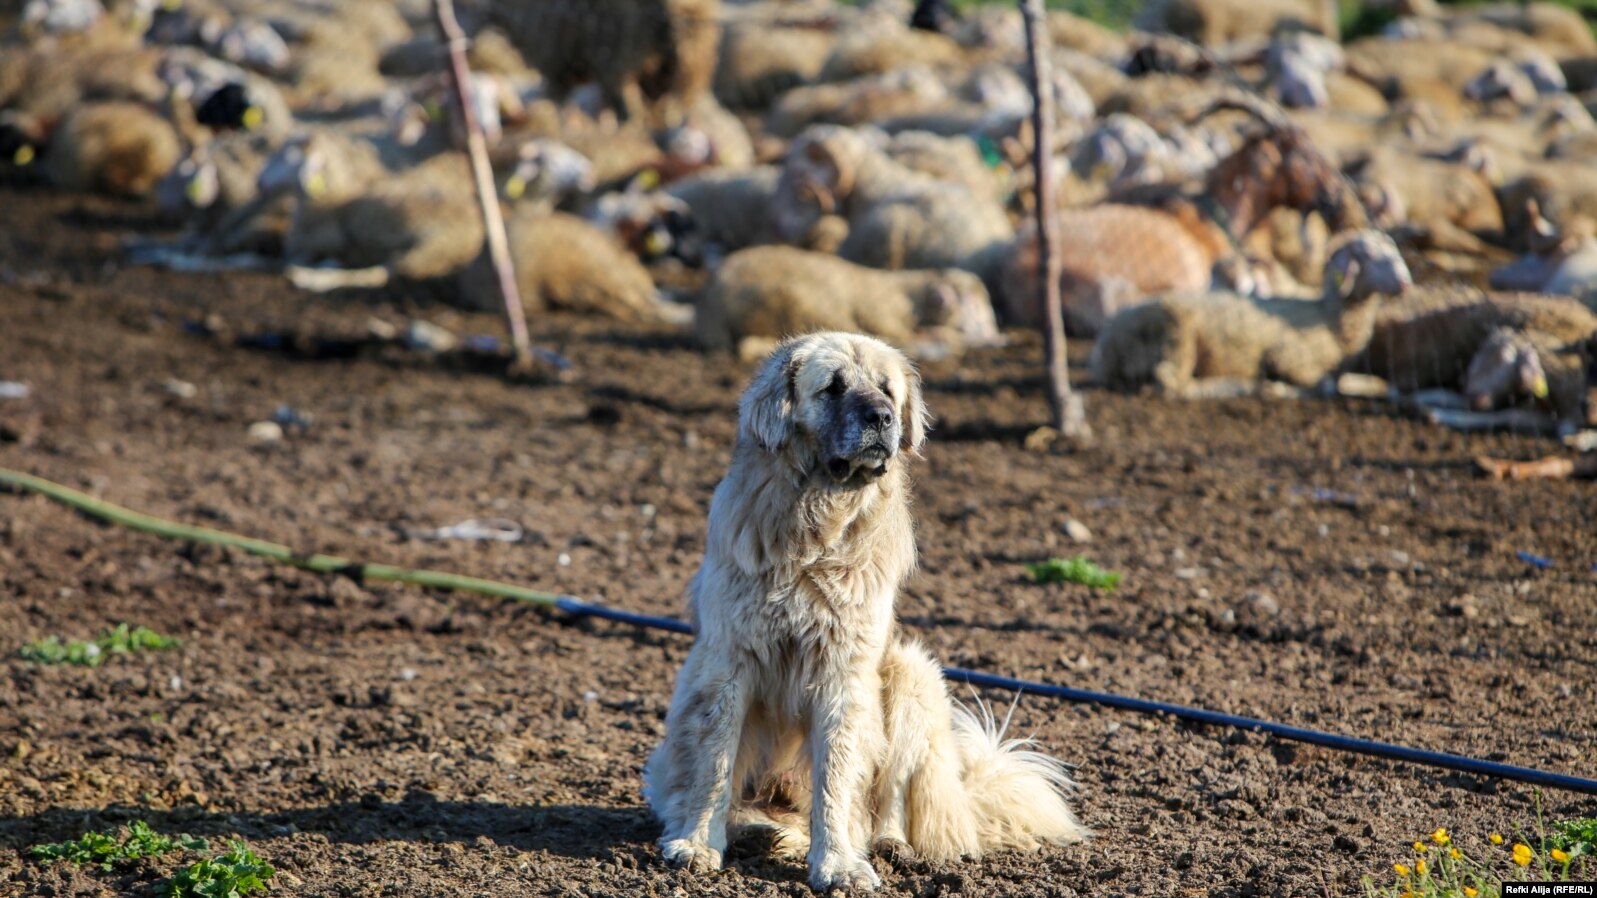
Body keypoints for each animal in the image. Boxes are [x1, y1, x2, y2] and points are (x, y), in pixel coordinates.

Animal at [1092, 228, 1418, 396]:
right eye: (1369, 256)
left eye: (1395, 253)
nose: (1405, 282)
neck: (1326, 317)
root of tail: (1108, 338)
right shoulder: (1287, 356)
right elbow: (1323, 384)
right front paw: (1277, 387)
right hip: (1177, 331)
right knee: (1171, 382)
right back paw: (1243, 386)